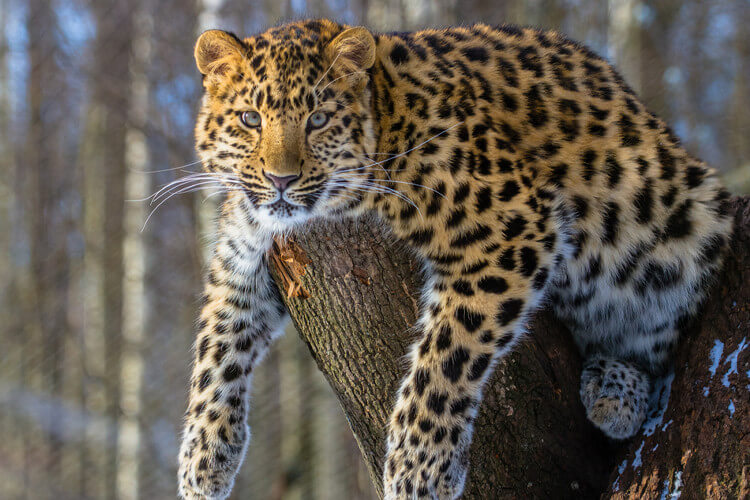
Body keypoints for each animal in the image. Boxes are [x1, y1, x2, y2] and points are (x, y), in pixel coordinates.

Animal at [178, 18, 736, 500]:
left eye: (317, 120)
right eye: (251, 119)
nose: (281, 180)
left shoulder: (514, 226)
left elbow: (447, 352)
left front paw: (418, 471)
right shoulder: (242, 254)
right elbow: (215, 345)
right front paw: (201, 461)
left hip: (689, 225)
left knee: (658, 345)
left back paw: (617, 392)